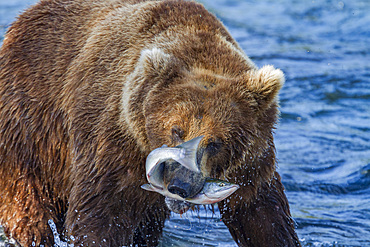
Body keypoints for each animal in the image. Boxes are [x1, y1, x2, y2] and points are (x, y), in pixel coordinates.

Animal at [0, 0, 300, 246]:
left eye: (216, 142)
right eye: (177, 130)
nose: (181, 185)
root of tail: (25, 16)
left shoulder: (252, 163)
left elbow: (262, 215)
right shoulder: (112, 145)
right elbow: (99, 215)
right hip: (29, 127)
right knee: (25, 204)